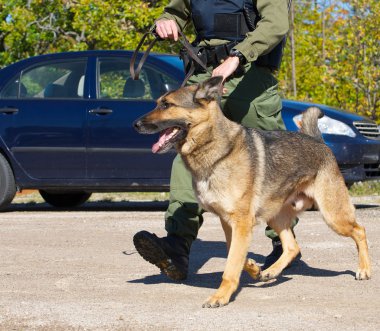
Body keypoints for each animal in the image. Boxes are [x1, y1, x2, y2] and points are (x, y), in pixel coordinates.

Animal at [132, 76, 370, 308]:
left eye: (166, 105)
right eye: (158, 103)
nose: (135, 124)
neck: (217, 149)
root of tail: (319, 142)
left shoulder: (241, 222)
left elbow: (231, 264)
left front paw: (221, 296)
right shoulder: (229, 222)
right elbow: (234, 253)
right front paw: (254, 269)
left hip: (333, 216)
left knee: (360, 231)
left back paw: (364, 270)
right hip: (276, 216)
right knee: (292, 246)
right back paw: (271, 272)